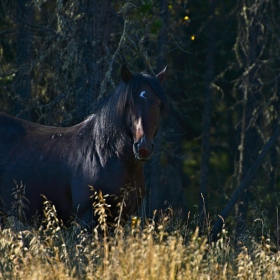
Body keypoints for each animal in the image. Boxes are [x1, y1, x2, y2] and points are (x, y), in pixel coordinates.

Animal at [0, 64, 167, 226]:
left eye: (159, 104)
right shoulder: (86, 218)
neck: (102, 154)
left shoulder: (120, 219)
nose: (143, 147)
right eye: (130, 103)